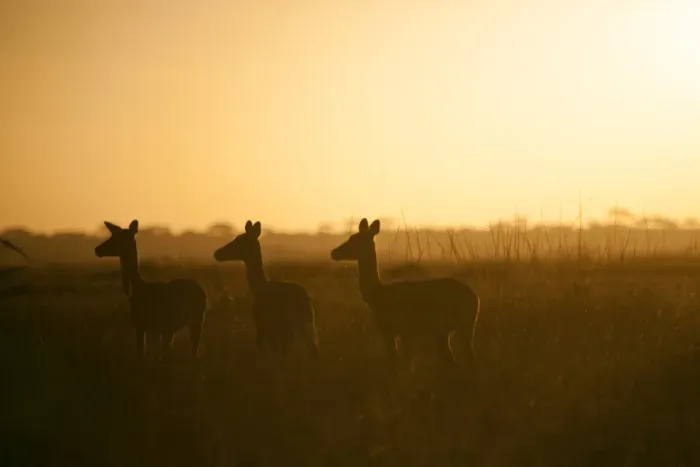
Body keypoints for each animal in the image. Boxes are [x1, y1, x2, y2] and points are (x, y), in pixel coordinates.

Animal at [94, 220, 207, 359]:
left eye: (116, 238)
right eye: (112, 235)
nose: (97, 249)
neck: (138, 288)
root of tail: (203, 293)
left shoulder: (143, 325)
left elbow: (142, 354)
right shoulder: (155, 329)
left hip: (195, 321)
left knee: (194, 351)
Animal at [213, 220, 320, 360]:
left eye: (239, 240)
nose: (217, 253)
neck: (259, 287)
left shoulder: (263, 329)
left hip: (286, 328)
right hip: (307, 325)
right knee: (312, 350)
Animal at [331, 218, 481, 366]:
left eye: (355, 239)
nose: (334, 252)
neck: (378, 294)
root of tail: (475, 298)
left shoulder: (394, 331)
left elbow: (399, 362)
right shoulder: (401, 333)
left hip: (447, 329)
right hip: (461, 329)